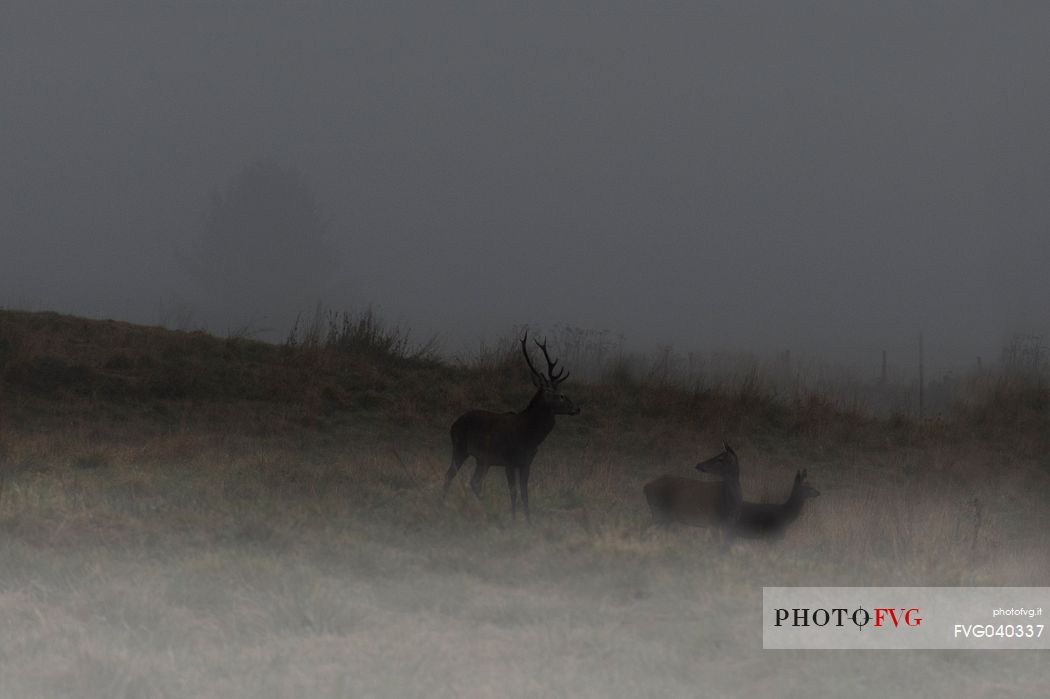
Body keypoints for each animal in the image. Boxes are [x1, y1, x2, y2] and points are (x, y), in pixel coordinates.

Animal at [440, 335, 579, 520]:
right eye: (561, 396)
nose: (577, 408)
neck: (530, 436)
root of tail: (453, 425)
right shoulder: (508, 460)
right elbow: (513, 492)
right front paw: (513, 520)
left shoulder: (526, 462)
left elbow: (525, 493)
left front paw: (528, 521)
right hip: (460, 447)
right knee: (449, 475)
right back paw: (440, 506)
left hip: (483, 459)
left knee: (475, 482)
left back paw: (488, 512)